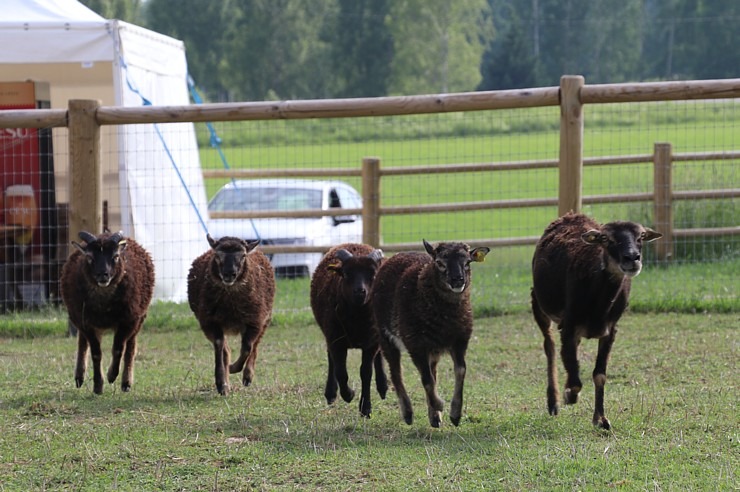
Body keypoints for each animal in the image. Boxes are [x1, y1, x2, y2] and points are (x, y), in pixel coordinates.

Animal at [61, 232, 158, 396]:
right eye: (89, 257)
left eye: (116, 256)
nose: (103, 275)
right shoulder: (86, 322)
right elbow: (96, 353)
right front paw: (98, 385)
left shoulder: (128, 320)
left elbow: (118, 349)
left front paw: (111, 375)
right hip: (81, 317)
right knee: (82, 342)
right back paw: (79, 377)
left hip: (139, 318)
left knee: (130, 347)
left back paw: (126, 382)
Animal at [186, 234, 276, 396]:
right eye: (217, 255)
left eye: (243, 255)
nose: (229, 273)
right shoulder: (210, 322)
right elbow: (220, 346)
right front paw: (222, 382)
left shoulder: (254, 321)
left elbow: (247, 347)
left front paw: (235, 369)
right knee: (226, 349)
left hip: (265, 318)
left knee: (255, 345)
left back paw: (247, 376)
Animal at [310, 242, 388, 416]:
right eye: (346, 273)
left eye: (373, 274)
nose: (360, 291)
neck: (356, 319)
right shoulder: (336, 339)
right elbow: (341, 373)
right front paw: (349, 394)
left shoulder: (370, 342)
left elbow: (366, 372)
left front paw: (366, 408)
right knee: (331, 360)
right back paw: (331, 394)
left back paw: (383, 387)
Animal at [370, 238, 492, 426]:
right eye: (440, 263)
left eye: (467, 262)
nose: (458, 280)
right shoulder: (415, 344)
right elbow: (426, 380)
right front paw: (440, 404)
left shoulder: (459, 340)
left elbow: (460, 371)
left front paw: (455, 413)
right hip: (386, 337)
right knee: (396, 373)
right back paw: (408, 413)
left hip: (433, 348)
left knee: (432, 371)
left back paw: (434, 417)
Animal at [528, 213, 660, 428]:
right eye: (606, 238)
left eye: (640, 236)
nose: (632, 258)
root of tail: (571, 215)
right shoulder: (568, 326)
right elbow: (575, 381)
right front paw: (569, 396)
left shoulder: (610, 331)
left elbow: (599, 375)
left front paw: (600, 419)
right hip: (538, 303)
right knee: (550, 346)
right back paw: (553, 402)